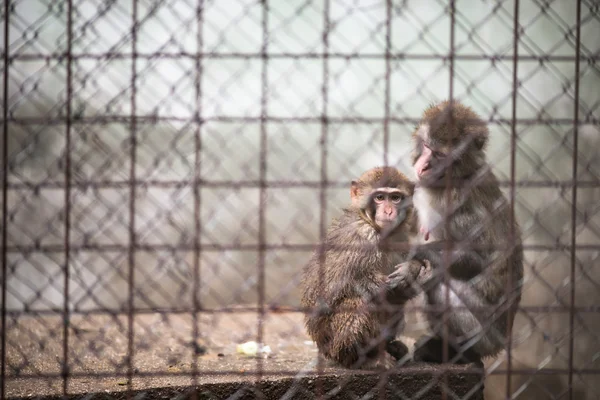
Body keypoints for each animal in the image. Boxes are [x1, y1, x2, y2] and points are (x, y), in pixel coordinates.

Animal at [300, 166, 432, 368]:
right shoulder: (361, 237)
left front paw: (411, 270)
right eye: (379, 197)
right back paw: (367, 358)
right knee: (358, 302)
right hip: (334, 346)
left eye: (395, 198)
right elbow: (342, 288)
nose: (388, 211)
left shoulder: (400, 237)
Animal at [386, 101, 524, 366]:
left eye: (439, 155)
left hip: (485, 336)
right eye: (427, 147)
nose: (423, 166)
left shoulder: (459, 203)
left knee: (438, 285)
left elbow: (477, 258)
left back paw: (460, 353)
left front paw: (412, 261)